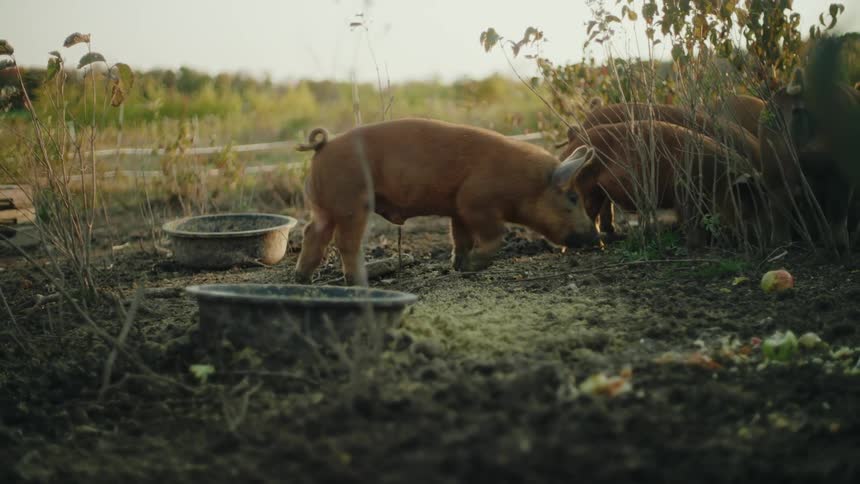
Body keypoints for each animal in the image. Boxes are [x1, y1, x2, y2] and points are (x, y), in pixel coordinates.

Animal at [293, 118, 600, 285]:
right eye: (573, 197)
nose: (597, 239)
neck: (524, 185)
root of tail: (323, 145)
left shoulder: (458, 210)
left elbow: (460, 238)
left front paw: (459, 266)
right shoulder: (474, 202)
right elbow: (496, 235)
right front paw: (474, 265)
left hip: (323, 207)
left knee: (313, 233)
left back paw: (302, 279)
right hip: (352, 203)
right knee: (344, 243)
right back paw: (359, 282)